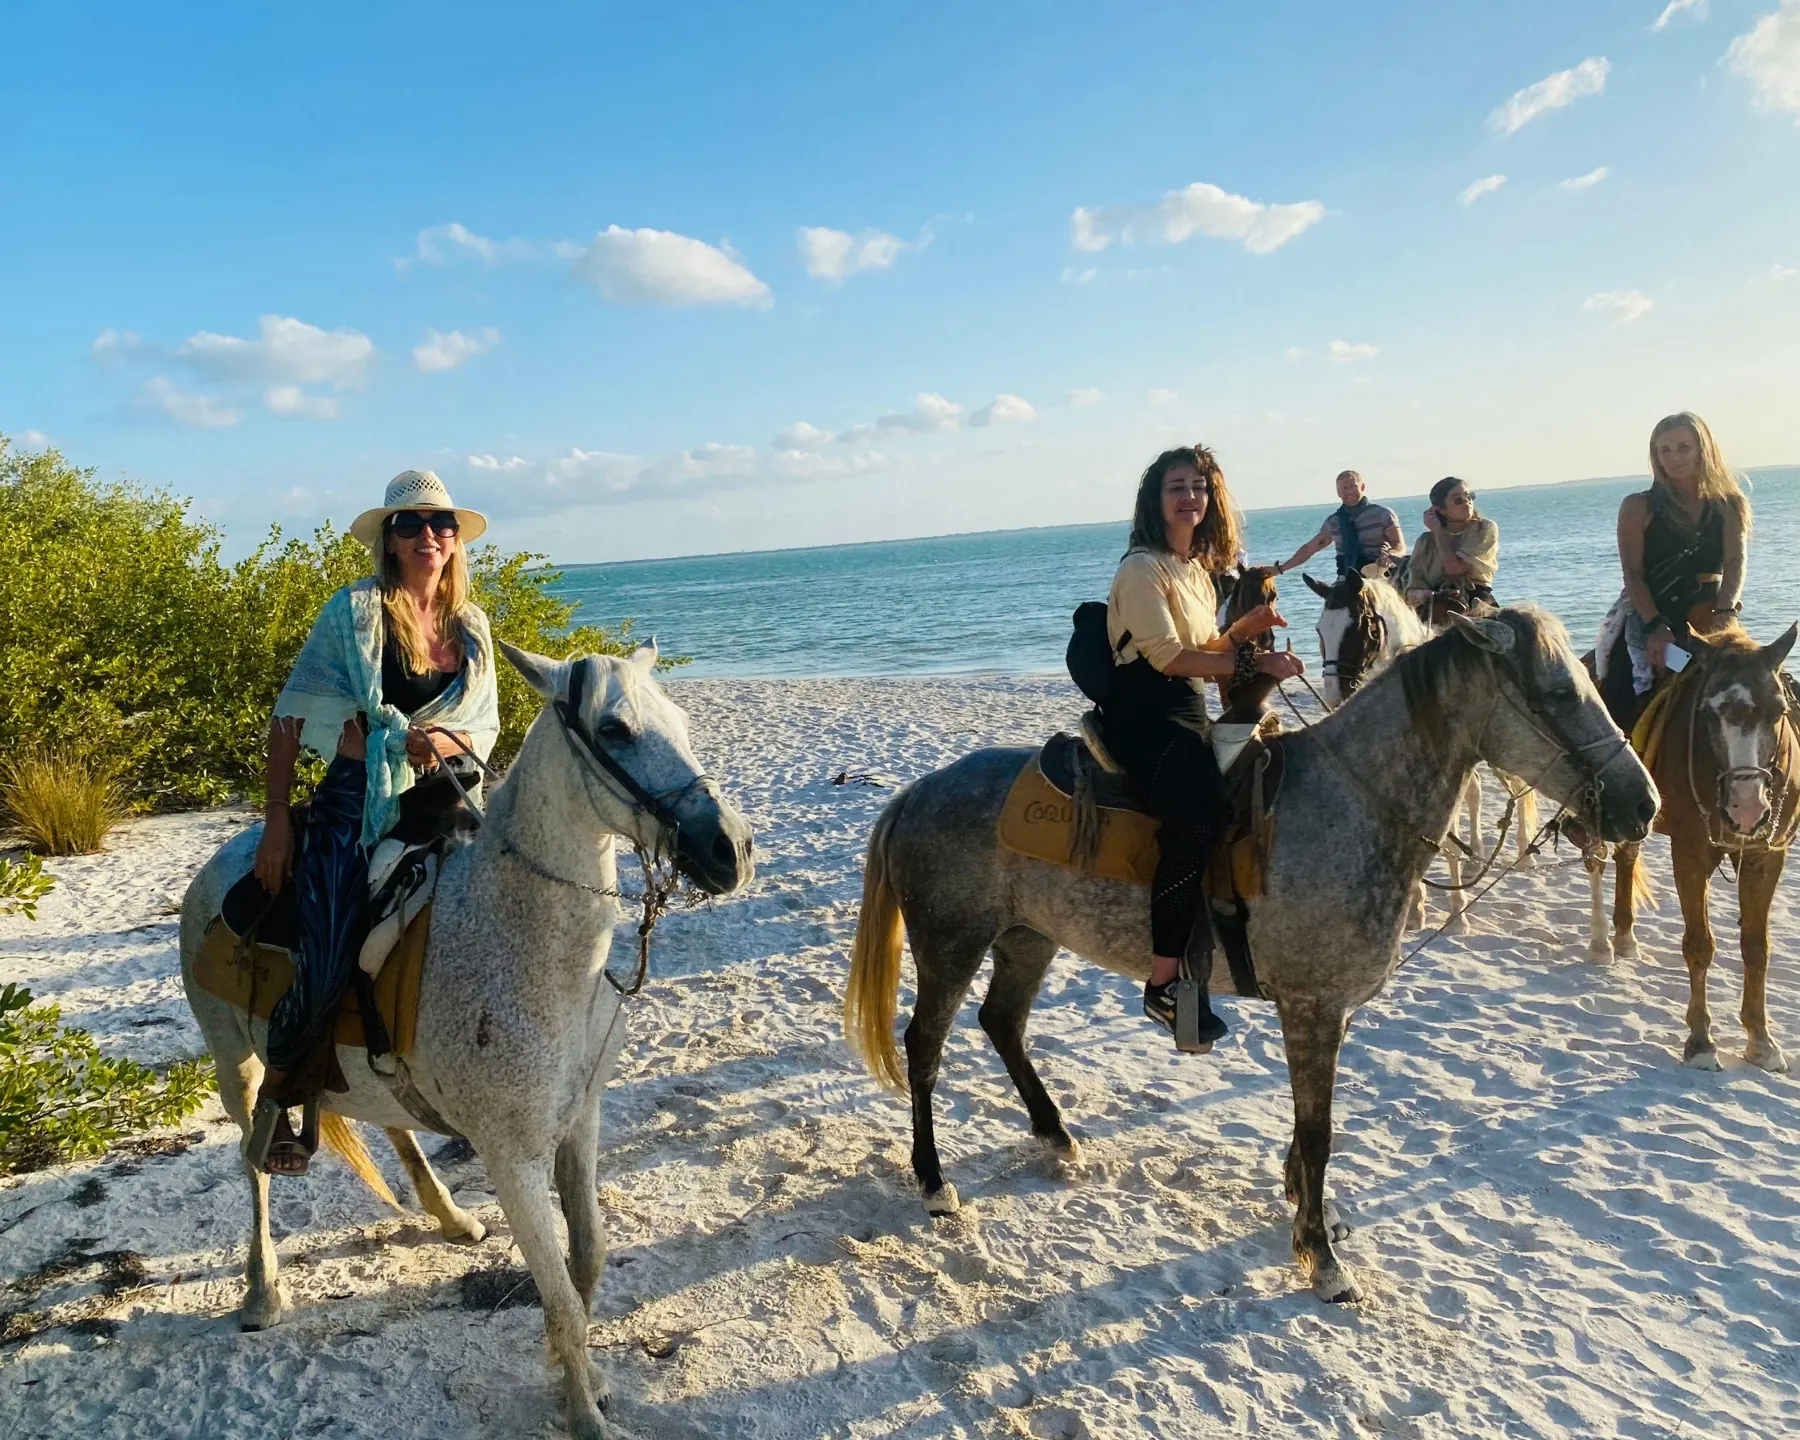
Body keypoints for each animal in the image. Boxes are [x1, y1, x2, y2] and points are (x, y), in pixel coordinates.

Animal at [179, 644, 754, 1440]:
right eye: (614, 729)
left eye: (683, 721)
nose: (731, 848)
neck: (528, 946)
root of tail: (225, 861)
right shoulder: (513, 1160)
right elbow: (562, 1294)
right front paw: (583, 1414)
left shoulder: (581, 1124)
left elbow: (587, 1260)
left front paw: (585, 1380)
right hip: (233, 1059)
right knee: (255, 1161)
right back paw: (262, 1293)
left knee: (390, 1122)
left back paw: (450, 1217)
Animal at [844, 607, 1656, 1303]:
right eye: (1559, 692)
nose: (1642, 805)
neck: (1352, 803)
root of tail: (916, 792)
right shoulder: (1312, 1008)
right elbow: (1320, 1134)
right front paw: (1321, 1259)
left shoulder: (1326, 1012)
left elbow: (1307, 1128)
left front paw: (1308, 1213)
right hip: (952, 942)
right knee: (925, 1047)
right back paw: (933, 1183)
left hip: (1027, 939)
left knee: (1003, 1024)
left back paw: (1056, 1133)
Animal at [1305, 569, 1539, 931]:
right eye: (1320, 630)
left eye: (1358, 626)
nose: (1333, 695)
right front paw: (1416, 906)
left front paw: (1457, 912)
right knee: (1476, 793)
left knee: (1518, 787)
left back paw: (1524, 851)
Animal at [1582, 622, 1799, 1072]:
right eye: (1708, 713)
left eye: (1779, 712)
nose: (1746, 808)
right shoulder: (1690, 854)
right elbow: (1699, 945)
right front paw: (1701, 1041)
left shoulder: (1766, 857)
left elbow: (1757, 946)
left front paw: (1761, 1040)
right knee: (1596, 862)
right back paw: (1601, 944)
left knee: (1626, 858)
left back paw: (1625, 936)